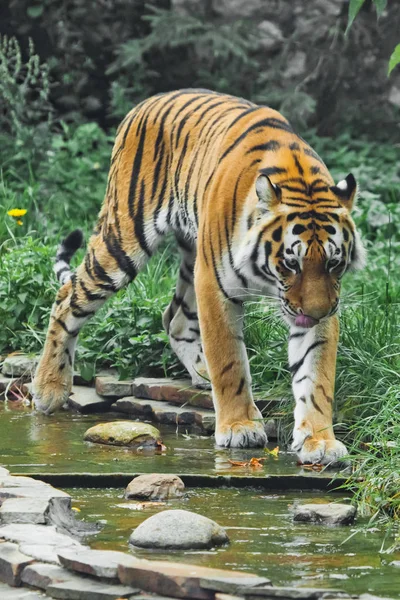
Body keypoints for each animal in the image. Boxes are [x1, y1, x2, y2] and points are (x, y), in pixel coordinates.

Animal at [32, 89, 364, 464]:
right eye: (291, 263)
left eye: (334, 263)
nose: (316, 313)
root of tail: (146, 102)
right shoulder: (216, 285)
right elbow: (230, 361)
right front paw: (239, 426)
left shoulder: (324, 303)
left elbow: (316, 375)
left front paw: (319, 440)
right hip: (126, 241)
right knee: (68, 296)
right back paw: (49, 389)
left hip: (192, 257)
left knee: (174, 318)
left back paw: (202, 374)